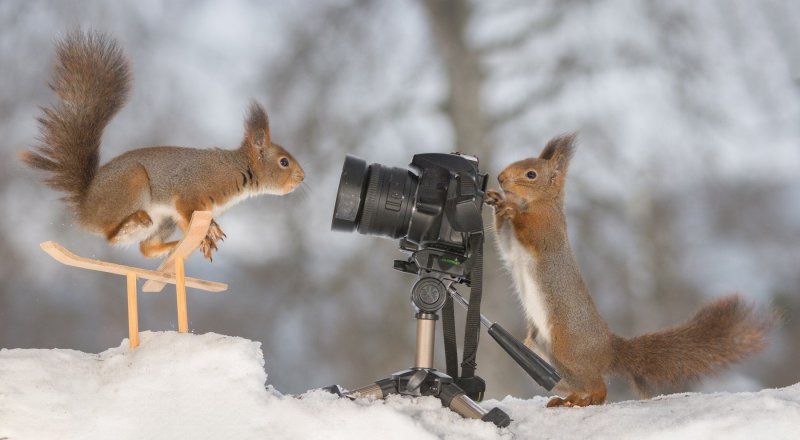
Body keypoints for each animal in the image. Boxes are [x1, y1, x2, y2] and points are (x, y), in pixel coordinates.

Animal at [21, 31, 304, 262]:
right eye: (284, 162)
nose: (302, 177)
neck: (236, 169)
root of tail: (86, 207)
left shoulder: (188, 210)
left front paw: (209, 232)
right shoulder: (191, 192)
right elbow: (187, 213)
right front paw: (207, 234)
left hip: (162, 220)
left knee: (145, 248)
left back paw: (174, 245)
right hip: (132, 184)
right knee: (110, 234)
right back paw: (133, 224)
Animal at [484, 134, 772, 410]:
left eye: (531, 174)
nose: (500, 178)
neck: (540, 203)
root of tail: (608, 349)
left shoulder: (546, 231)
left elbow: (529, 233)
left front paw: (509, 207)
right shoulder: (512, 248)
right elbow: (505, 242)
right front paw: (497, 202)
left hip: (565, 347)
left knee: (598, 385)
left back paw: (588, 399)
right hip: (541, 354)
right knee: (579, 384)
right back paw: (568, 400)